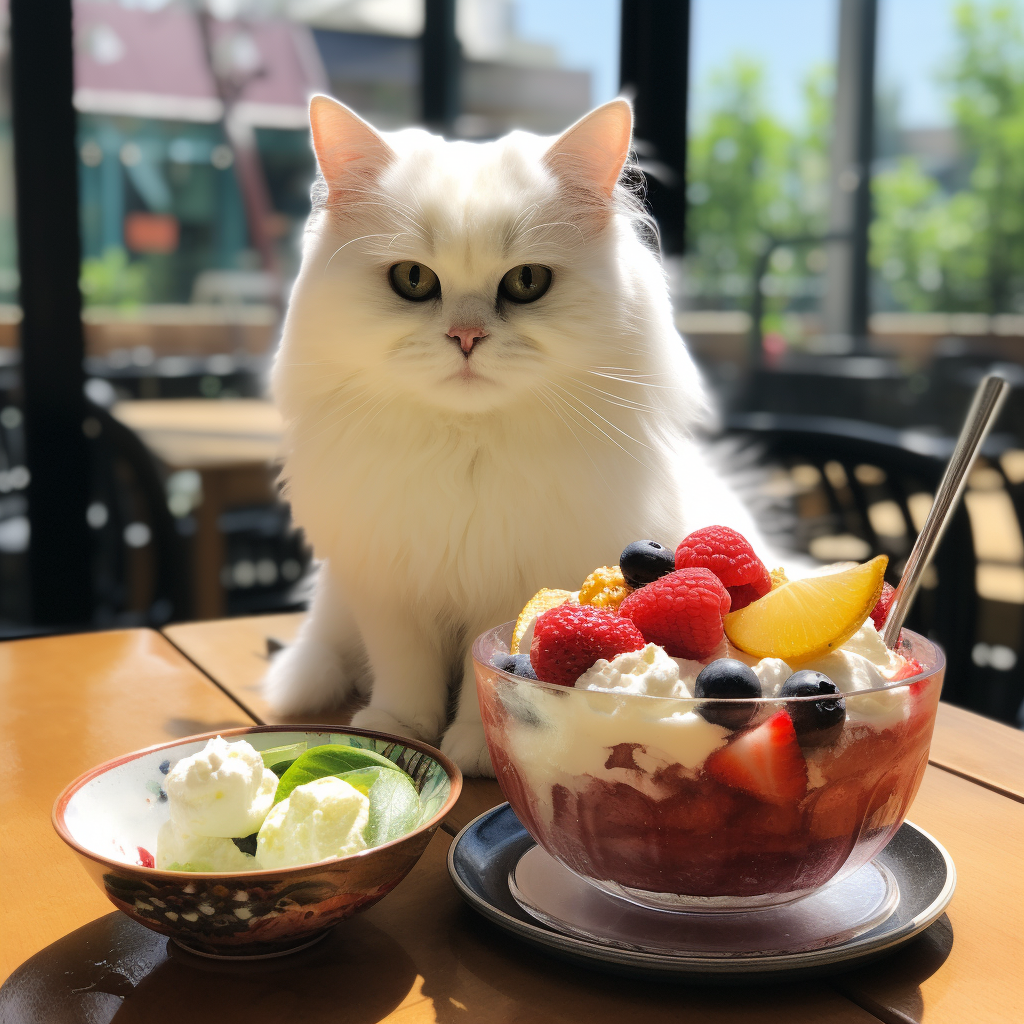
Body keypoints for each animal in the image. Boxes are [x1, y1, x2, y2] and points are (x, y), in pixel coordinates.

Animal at [264, 99, 770, 778]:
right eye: (413, 279)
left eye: (527, 281)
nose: (466, 337)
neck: (465, 447)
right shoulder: (389, 588)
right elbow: (406, 674)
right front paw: (397, 731)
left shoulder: (508, 586)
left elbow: (493, 675)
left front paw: (476, 748)